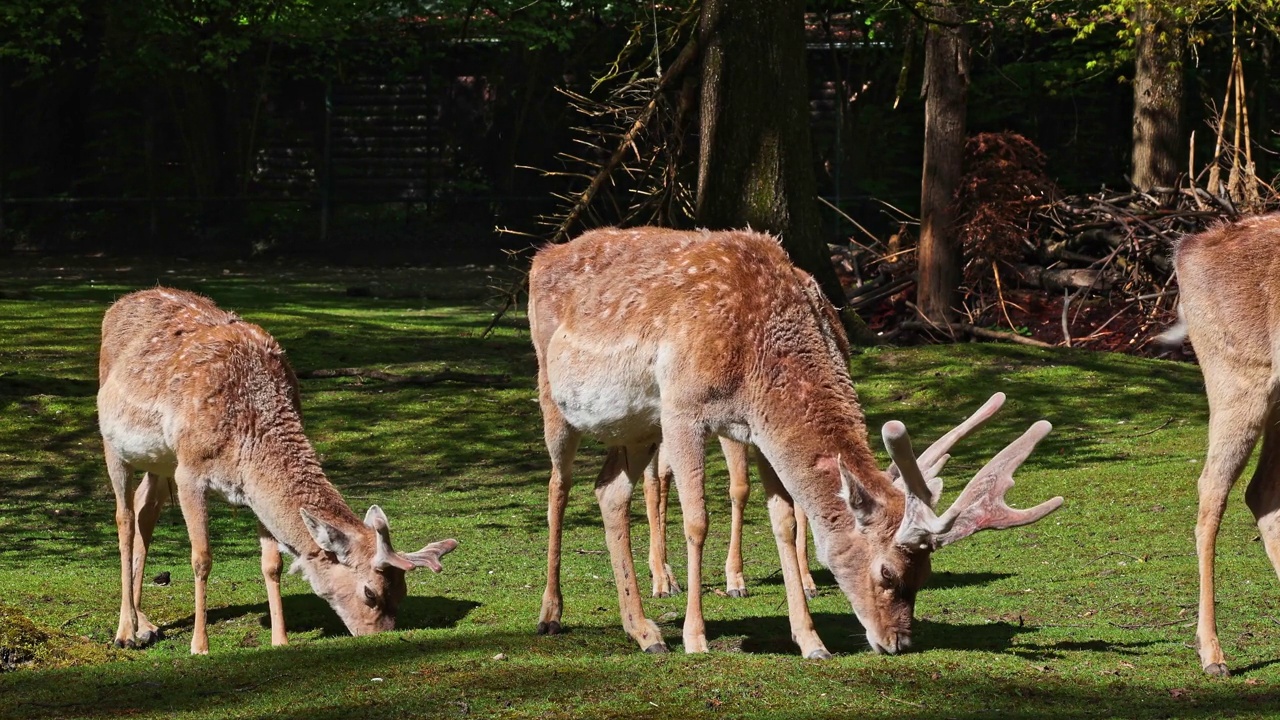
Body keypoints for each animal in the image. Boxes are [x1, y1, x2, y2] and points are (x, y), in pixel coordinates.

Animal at [99, 284, 460, 650]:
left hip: (159, 460)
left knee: (145, 508)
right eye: (370, 593)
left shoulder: (249, 489)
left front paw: (280, 640)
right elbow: (202, 558)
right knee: (124, 517)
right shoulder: (190, 470)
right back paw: (126, 631)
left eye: (402, 593)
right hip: (114, 442)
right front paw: (200, 646)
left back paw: (146, 624)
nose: (380, 637)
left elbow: (272, 563)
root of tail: (123, 301)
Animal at [524, 226, 1064, 653]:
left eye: (926, 576)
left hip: (637, 426)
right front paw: (697, 637)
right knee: (558, 486)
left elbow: (784, 521)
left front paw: (810, 641)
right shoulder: (682, 409)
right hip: (554, 395)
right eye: (888, 573)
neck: (759, 357)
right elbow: (697, 521)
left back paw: (644, 631)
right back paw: (552, 614)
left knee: (610, 490)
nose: (899, 642)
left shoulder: (756, 431)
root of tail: (541, 255)